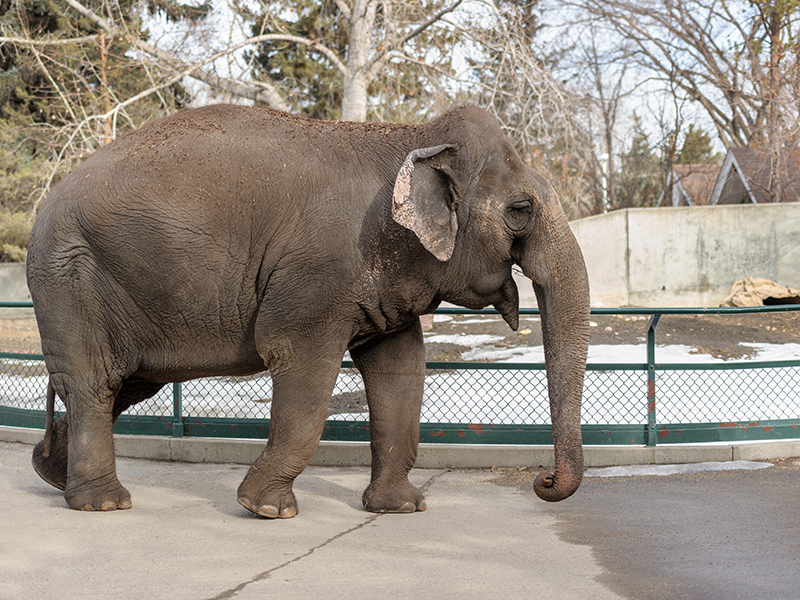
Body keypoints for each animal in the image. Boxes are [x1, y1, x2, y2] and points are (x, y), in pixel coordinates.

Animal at [26, 104, 590, 518]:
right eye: (522, 210)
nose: (542, 480)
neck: (410, 135)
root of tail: (48, 200)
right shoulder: (317, 275)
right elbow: (303, 364)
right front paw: (267, 510)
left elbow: (400, 369)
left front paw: (399, 509)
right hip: (68, 278)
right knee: (94, 381)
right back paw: (102, 503)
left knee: (124, 383)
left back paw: (49, 472)